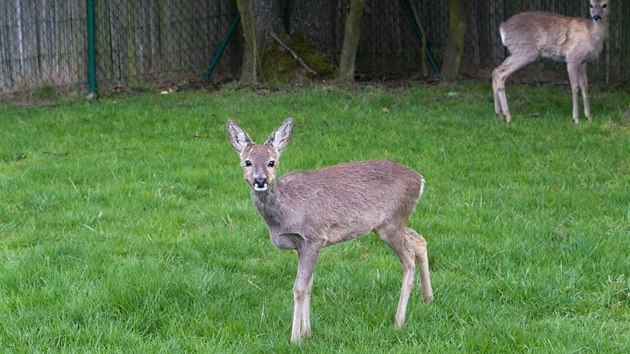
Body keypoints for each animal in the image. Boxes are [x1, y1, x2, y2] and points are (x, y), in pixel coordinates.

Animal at [227, 119, 434, 342]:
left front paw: (295, 338)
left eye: (272, 162)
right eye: (247, 162)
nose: (260, 180)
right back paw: (428, 298)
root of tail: (420, 180)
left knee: (408, 260)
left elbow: (299, 287)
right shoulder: (300, 245)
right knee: (419, 240)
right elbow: (309, 285)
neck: (285, 213)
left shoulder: (313, 236)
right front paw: (307, 332)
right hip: (390, 224)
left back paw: (399, 322)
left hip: (392, 223)